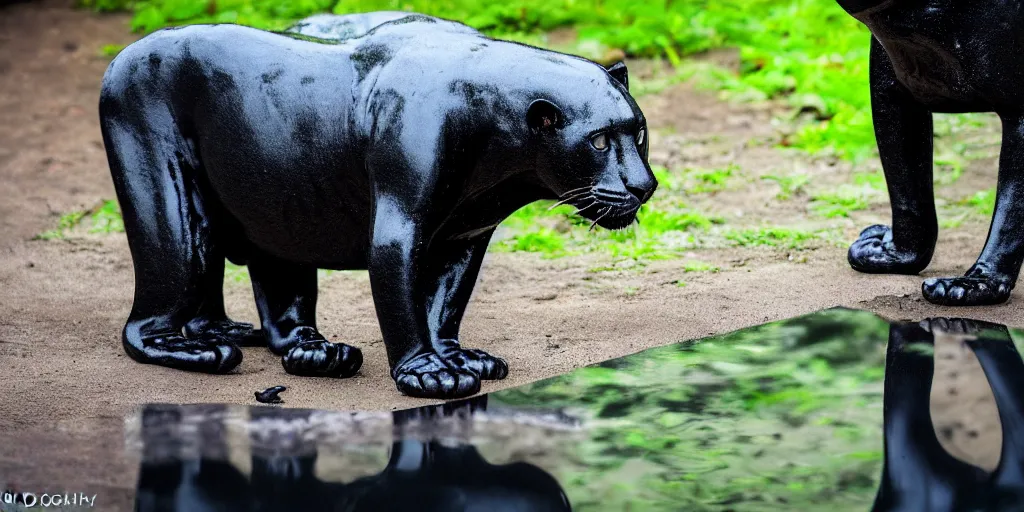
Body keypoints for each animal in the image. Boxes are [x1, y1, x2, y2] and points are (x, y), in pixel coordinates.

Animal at [97, 9, 655, 397]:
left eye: (640, 133)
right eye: (599, 141)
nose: (644, 186)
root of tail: (123, 55)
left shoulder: (464, 236)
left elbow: (443, 304)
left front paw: (458, 358)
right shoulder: (400, 227)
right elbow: (402, 301)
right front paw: (427, 374)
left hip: (278, 207)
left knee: (276, 309)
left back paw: (306, 351)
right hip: (174, 218)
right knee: (145, 321)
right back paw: (203, 349)